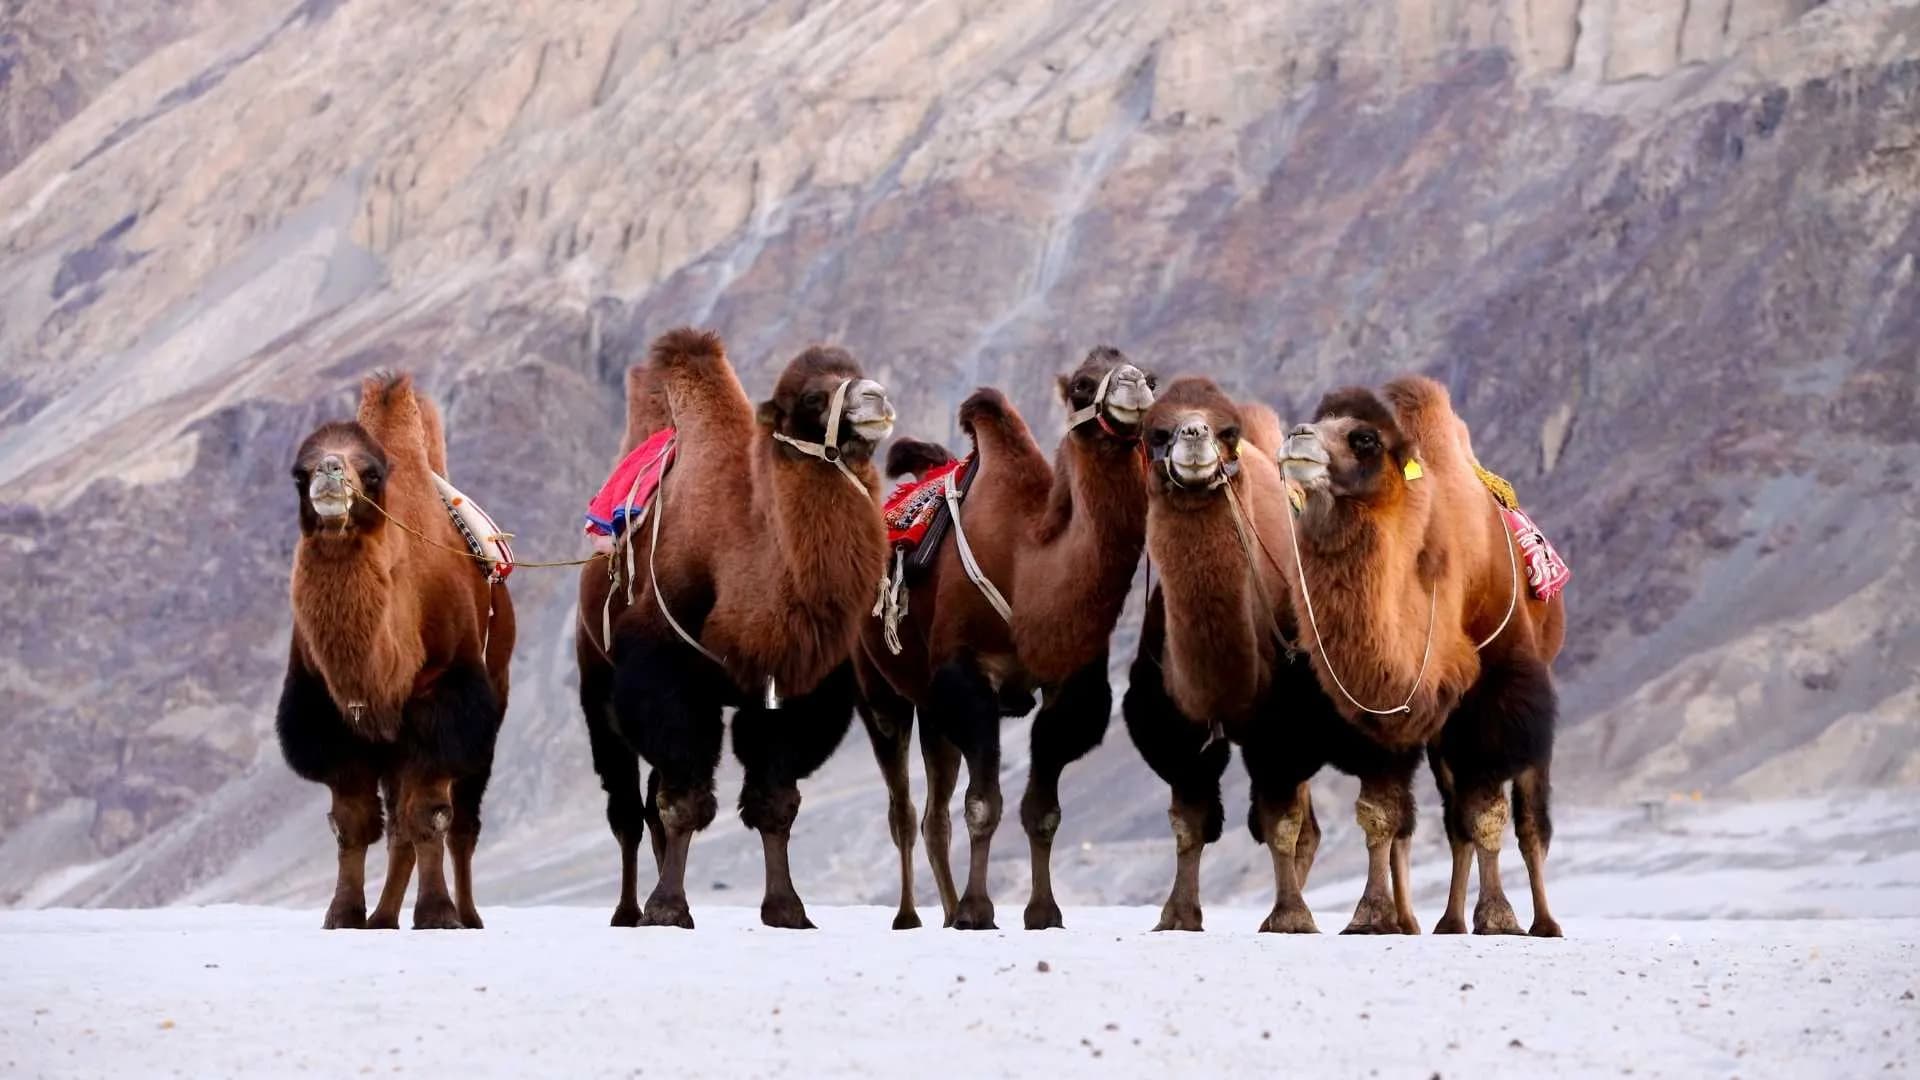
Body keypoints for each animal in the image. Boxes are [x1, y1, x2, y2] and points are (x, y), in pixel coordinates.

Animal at [277, 373, 515, 930]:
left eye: (370, 472)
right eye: (299, 472)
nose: (329, 470)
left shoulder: (446, 697)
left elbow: (429, 815)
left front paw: (438, 914)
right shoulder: (334, 714)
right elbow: (352, 823)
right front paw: (343, 914)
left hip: (490, 701)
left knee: (460, 820)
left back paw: (468, 914)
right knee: (397, 826)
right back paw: (383, 916)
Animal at [577, 328, 894, 930]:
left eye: (859, 370)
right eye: (812, 398)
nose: (877, 399)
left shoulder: (790, 693)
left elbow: (775, 802)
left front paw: (787, 909)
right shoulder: (666, 680)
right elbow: (683, 800)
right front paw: (666, 908)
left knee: (649, 797)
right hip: (597, 682)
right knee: (627, 804)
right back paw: (628, 910)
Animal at [856, 347, 1156, 931]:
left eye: (1152, 375)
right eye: (1082, 384)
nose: (1135, 386)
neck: (1026, 563)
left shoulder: (1070, 685)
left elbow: (1042, 810)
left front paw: (1042, 911)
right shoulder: (968, 674)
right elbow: (983, 803)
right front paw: (979, 910)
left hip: (930, 708)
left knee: (933, 816)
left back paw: (947, 910)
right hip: (878, 688)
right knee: (903, 807)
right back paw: (911, 915)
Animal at [1278, 376, 1567, 936]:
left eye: (1364, 438)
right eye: (1319, 421)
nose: (1297, 436)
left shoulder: (1495, 696)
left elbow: (1488, 811)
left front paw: (1498, 917)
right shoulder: (1383, 709)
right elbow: (1381, 811)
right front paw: (1370, 916)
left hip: (1528, 696)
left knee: (1528, 820)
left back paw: (1544, 923)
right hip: (1443, 736)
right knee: (1453, 820)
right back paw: (1448, 921)